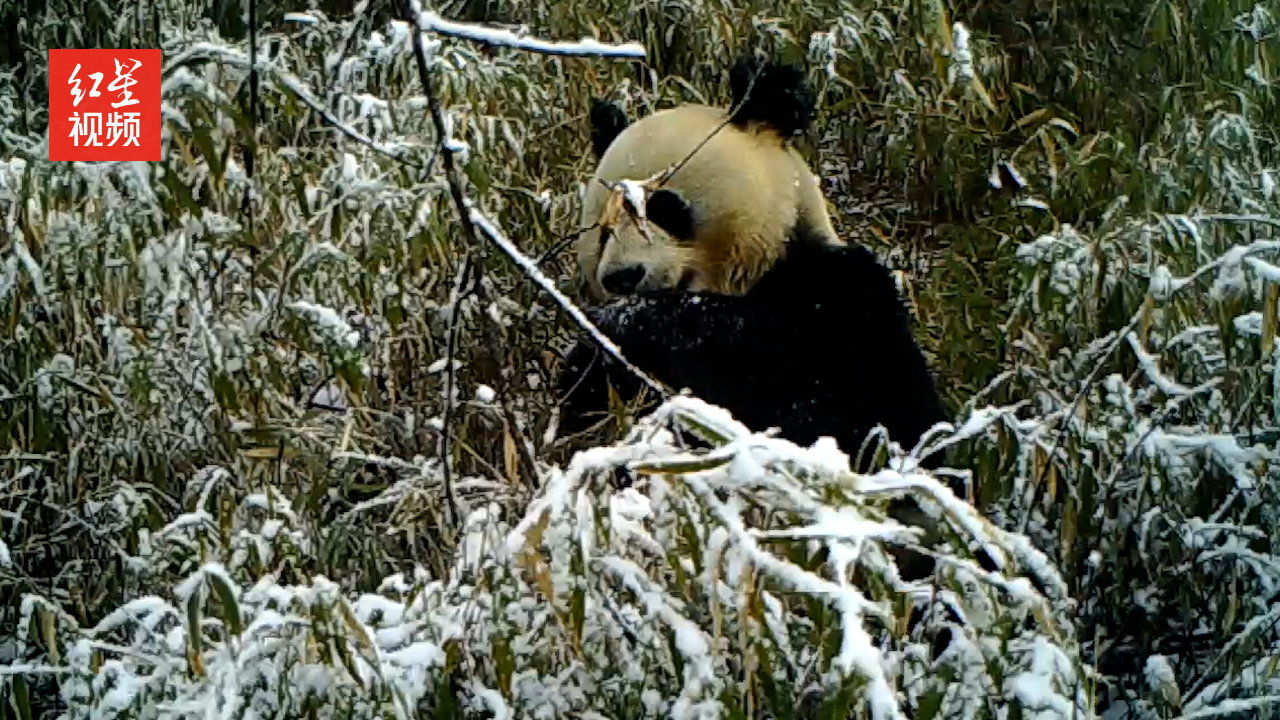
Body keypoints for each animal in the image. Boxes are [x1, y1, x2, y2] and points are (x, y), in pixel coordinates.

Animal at [558, 53, 952, 474]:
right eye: (603, 231)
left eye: (663, 206)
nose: (624, 277)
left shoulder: (841, 297)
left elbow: (833, 413)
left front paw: (636, 320)